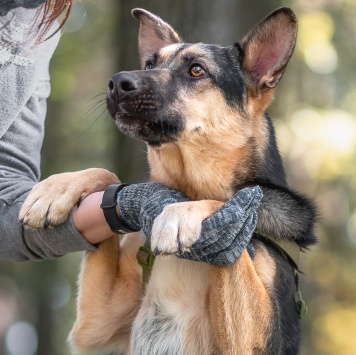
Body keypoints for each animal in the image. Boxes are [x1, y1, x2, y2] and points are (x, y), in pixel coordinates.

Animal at [19, 6, 316, 355]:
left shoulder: (255, 341)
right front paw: (56, 190)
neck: (185, 183)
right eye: (149, 64)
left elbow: (223, 201)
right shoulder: (94, 327)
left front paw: (179, 214)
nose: (117, 83)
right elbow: (109, 174)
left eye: (197, 70)